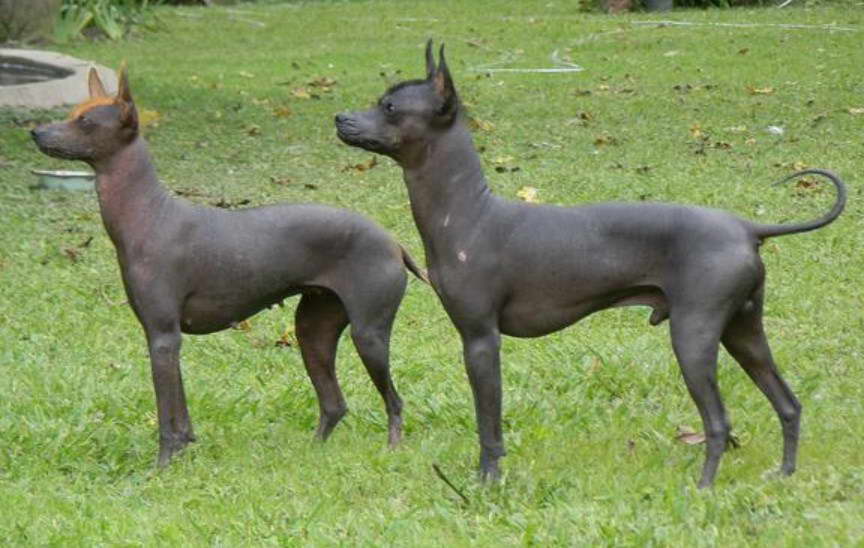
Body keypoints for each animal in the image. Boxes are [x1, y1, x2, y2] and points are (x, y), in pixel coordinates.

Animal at [33, 65, 426, 466]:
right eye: (73, 113)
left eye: (85, 122)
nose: (36, 132)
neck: (149, 213)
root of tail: (393, 242)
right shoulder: (163, 340)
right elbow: (182, 416)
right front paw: (184, 449)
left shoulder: (163, 337)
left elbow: (167, 418)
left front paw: (162, 466)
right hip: (312, 331)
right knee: (334, 404)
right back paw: (311, 452)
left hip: (368, 335)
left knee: (393, 401)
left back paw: (393, 448)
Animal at [334, 41, 848, 488]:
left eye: (390, 107)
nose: (340, 117)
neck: (468, 212)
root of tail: (745, 227)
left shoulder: (480, 340)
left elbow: (488, 424)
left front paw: (487, 481)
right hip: (743, 332)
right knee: (789, 404)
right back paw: (784, 474)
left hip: (694, 334)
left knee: (719, 421)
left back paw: (703, 488)